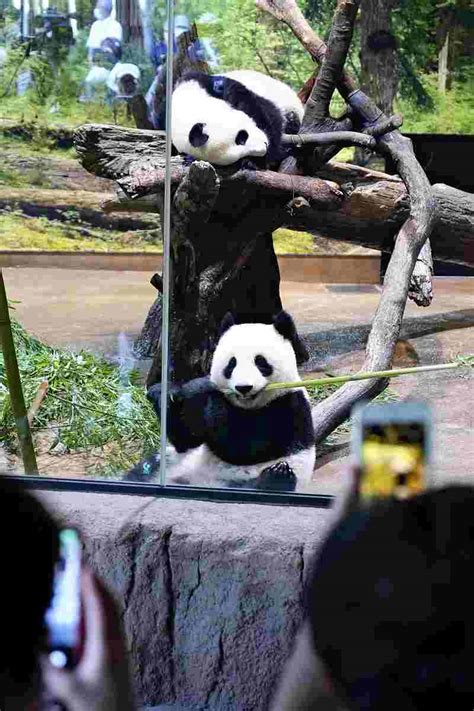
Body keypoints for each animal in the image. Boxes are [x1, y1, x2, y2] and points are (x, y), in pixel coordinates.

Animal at [125, 312, 314, 496]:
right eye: (232, 363)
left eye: (260, 362)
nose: (243, 388)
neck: (245, 406)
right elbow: (186, 440)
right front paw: (165, 392)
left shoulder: (287, 406)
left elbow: (242, 445)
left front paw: (203, 387)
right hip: (172, 463)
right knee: (148, 466)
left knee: (272, 483)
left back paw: (275, 475)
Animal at [172, 70, 306, 169]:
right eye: (237, 158)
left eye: (241, 137)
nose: (264, 146)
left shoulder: (214, 86)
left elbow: (265, 116)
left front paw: (258, 161)